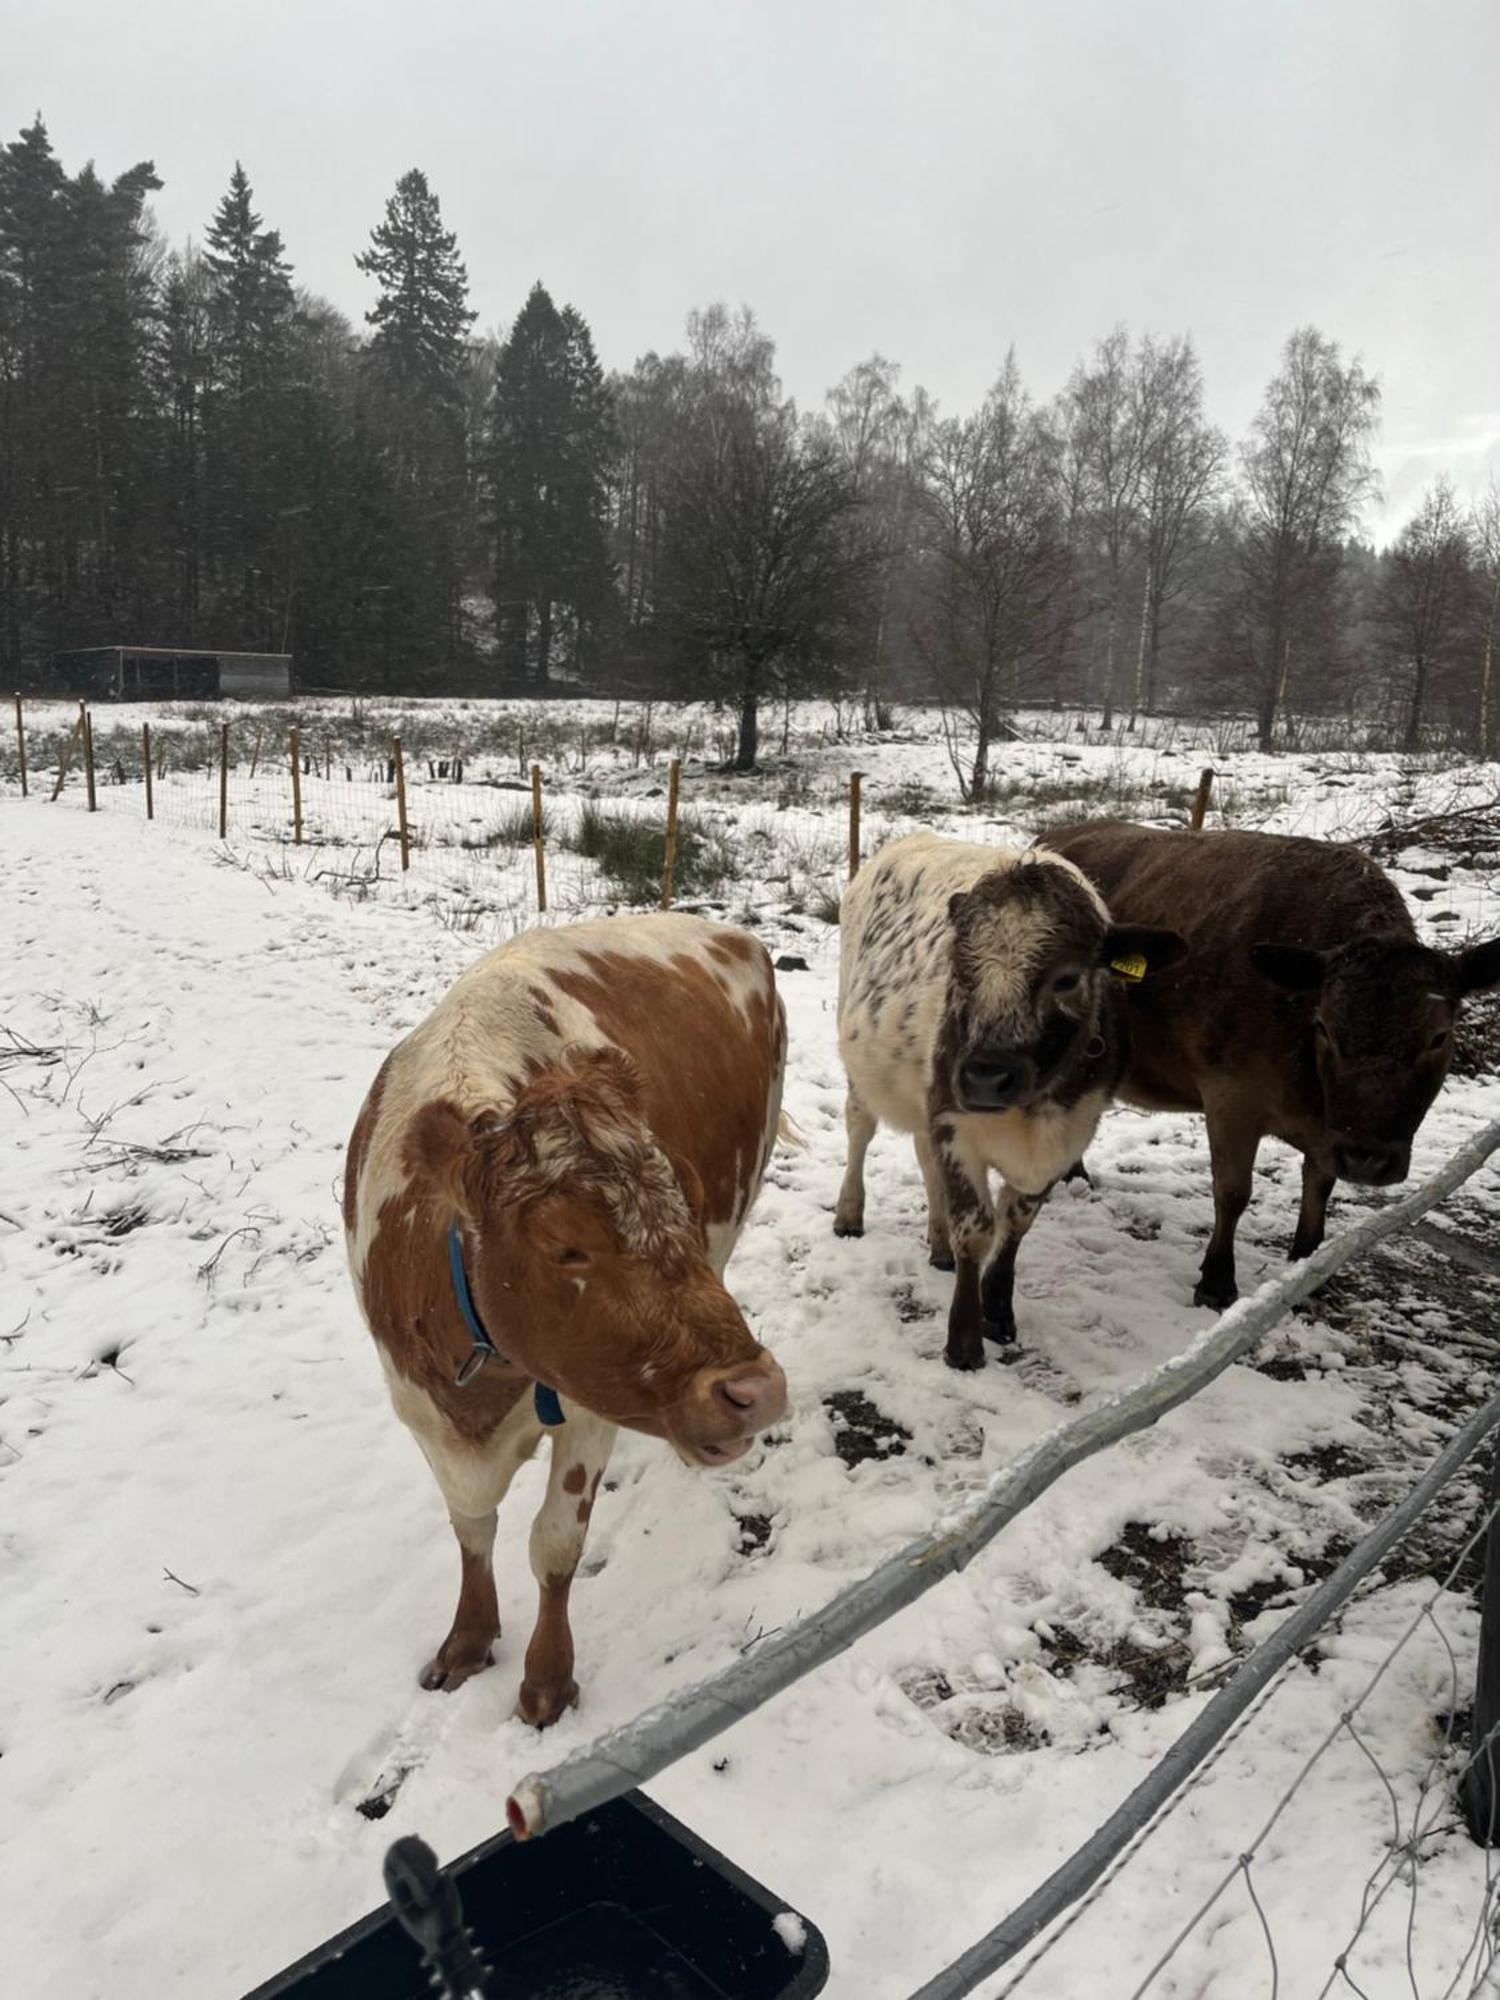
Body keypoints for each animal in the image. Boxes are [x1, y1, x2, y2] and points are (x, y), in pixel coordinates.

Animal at [340, 916, 788, 1728]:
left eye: (686, 1194)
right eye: (563, 1245)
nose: (757, 1390)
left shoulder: (585, 1412)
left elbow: (552, 1545)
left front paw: (546, 1680)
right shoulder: (419, 1409)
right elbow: (471, 1526)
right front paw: (467, 1640)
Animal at [836, 832, 1184, 1376]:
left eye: (1067, 978)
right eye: (960, 971)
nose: (985, 1078)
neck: (1034, 1113)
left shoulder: (1067, 1139)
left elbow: (1015, 1224)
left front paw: (997, 1310)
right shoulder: (954, 1124)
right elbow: (976, 1228)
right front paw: (963, 1341)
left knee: (924, 1159)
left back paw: (937, 1243)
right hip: (863, 1070)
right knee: (859, 1129)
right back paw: (849, 1214)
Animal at [1048, 820, 1500, 1304]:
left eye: (1439, 1036)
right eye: (1325, 1027)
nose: (1369, 1160)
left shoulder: (1330, 1131)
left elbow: (1320, 1183)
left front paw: (1309, 1266)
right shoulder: (1230, 1097)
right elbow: (1232, 1191)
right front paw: (1216, 1281)